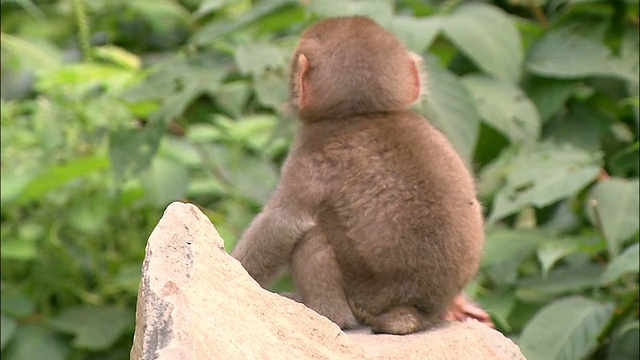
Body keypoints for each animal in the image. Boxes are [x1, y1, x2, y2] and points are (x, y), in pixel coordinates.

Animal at [232, 14, 488, 334]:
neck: (365, 114)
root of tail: (414, 311)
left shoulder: (309, 154)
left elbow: (283, 223)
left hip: (363, 297)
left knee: (313, 236)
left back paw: (327, 314)